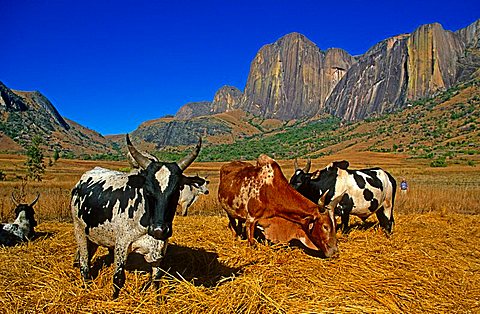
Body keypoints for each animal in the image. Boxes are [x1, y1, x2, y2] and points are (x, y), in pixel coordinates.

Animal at [71, 135, 201, 300]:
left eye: (176, 190)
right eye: (147, 190)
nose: (159, 230)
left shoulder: (160, 248)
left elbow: (156, 278)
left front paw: (157, 300)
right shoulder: (121, 244)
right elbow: (118, 278)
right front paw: (114, 299)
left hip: (93, 233)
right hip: (79, 230)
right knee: (84, 261)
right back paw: (86, 283)